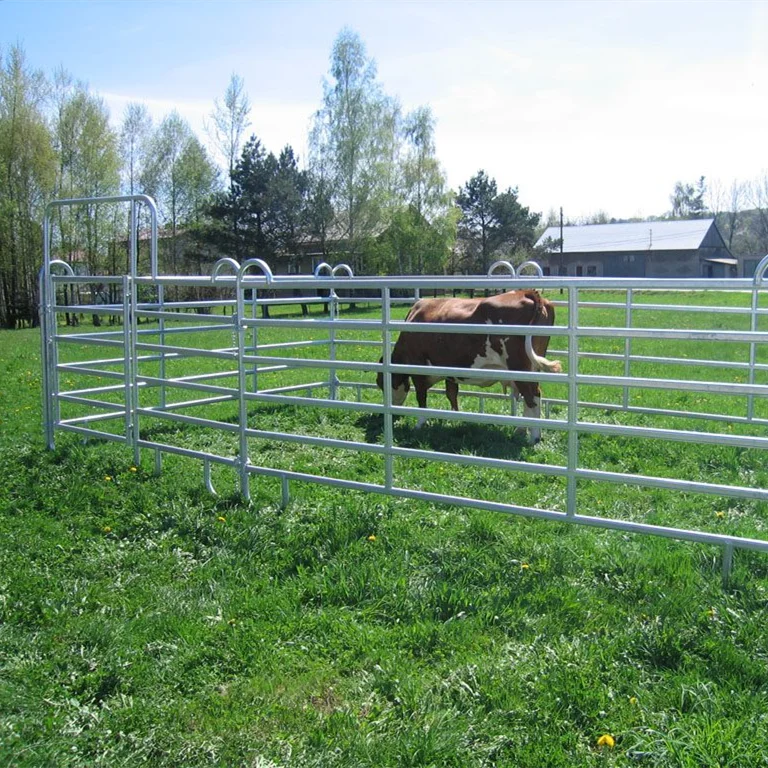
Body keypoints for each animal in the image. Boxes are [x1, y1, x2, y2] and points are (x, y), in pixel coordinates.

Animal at [376, 290, 561, 443]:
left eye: (381, 383)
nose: (391, 412)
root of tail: (526, 292)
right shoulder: (449, 370)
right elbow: (451, 394)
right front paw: (454, 418)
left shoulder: (418, 369)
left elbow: (421, 398)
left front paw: (419, 424)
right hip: (532, 367)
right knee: (531, 396)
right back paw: (521, 430)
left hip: (520, 369)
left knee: (532, 396)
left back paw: (534, 437)